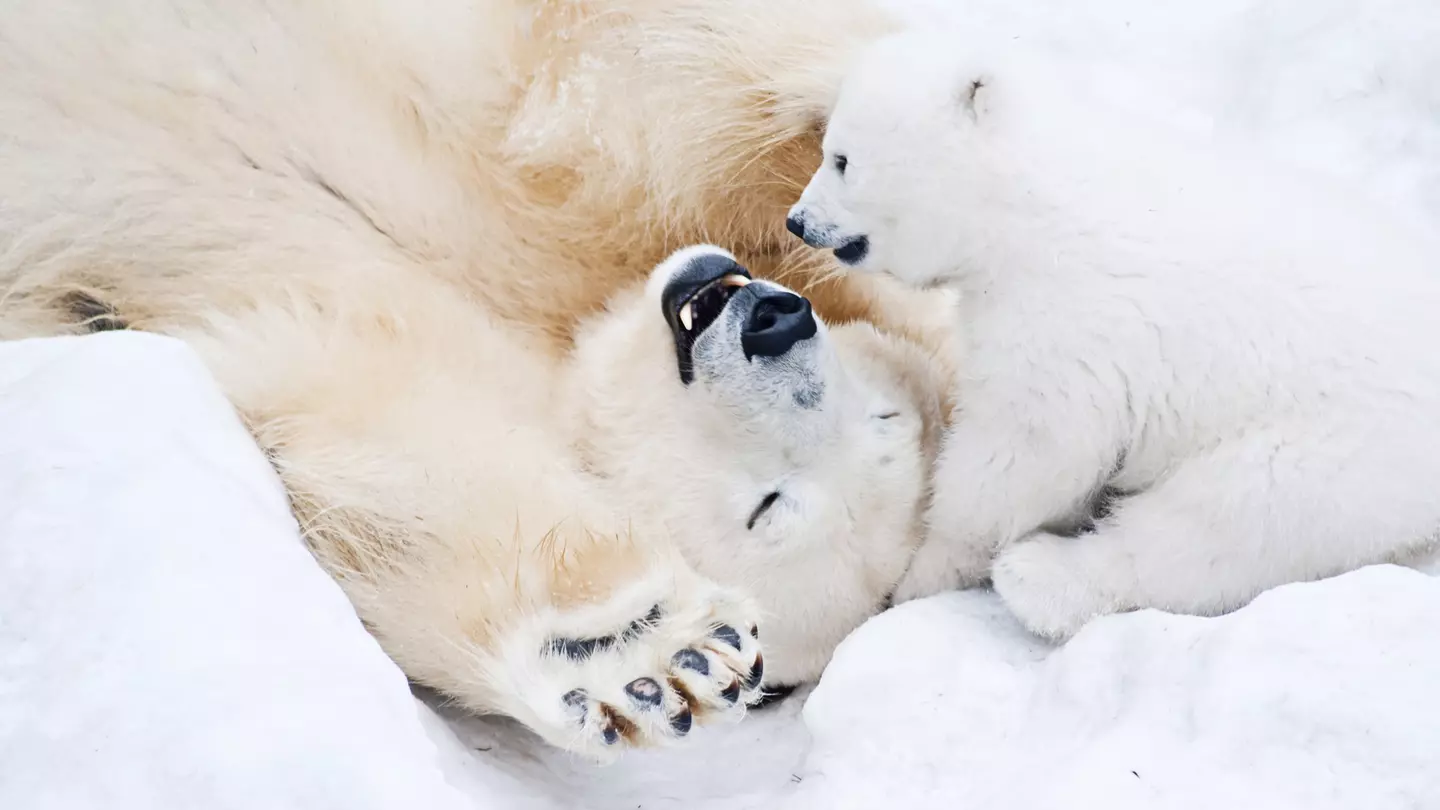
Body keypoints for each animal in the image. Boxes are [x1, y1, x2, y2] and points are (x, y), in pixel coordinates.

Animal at [0, 0, 956, 758]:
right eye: (884, 412)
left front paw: (640, 653)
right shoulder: (526, 161)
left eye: (770, 506)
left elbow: (386, 456)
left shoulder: (349, 335)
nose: (774, 321)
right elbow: (621, 92)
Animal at [786, 29, 1440, 640]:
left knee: (1225, 521)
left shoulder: (1065, 319)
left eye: (841, 159)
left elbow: (1025, 450)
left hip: (1337, 449)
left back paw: (1038, 577)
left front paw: (922, 575)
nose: (798, 221)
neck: (1030, 204)